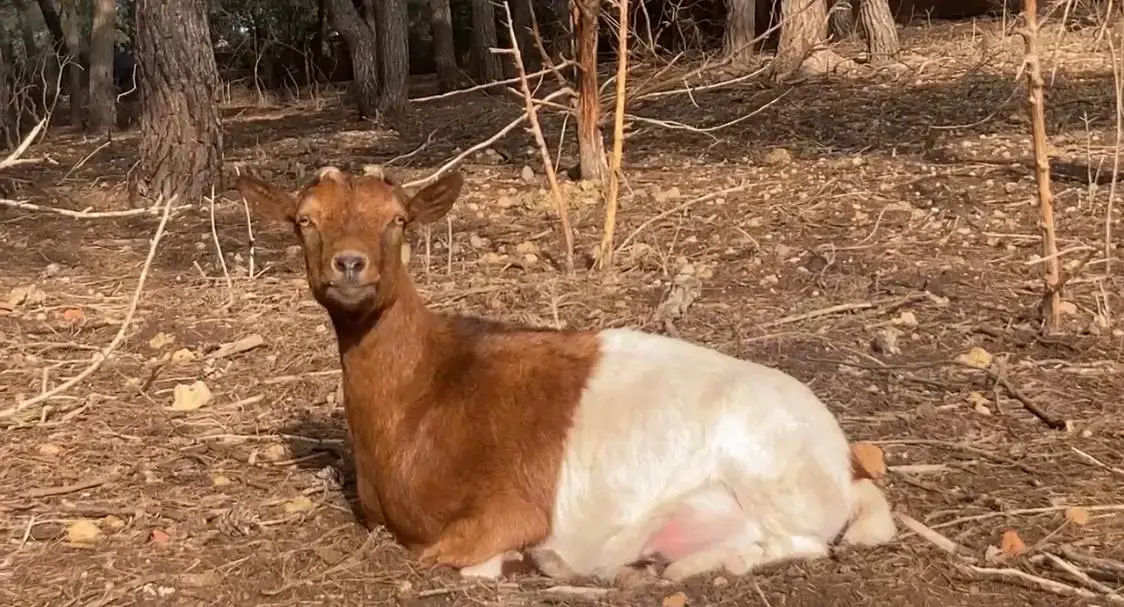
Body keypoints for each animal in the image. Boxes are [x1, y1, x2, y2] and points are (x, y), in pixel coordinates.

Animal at [234, 166, 897, 583]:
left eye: (399, 219)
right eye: (303, 221)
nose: (350, 265)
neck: (426, 391)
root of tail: (843, 461)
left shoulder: (509, 509)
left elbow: (451, 555)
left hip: (768, 472)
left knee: (802, 543)